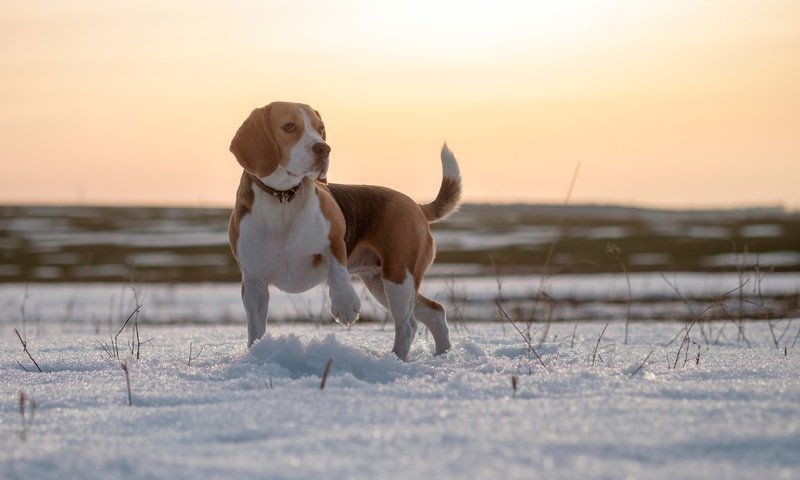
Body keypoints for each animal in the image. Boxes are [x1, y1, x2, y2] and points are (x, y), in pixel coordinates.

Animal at [228, 100, 460, 360]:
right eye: (289, 127)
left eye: (320, 129)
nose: (324, 149)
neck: (283, 198)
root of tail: (415, 205)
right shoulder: (254, 283)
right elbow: (256, 329)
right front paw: (256, 354)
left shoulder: (334, 240)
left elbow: (337, 269)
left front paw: (345, 305)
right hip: (382, 283)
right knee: (434, 312)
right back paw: (442, 356)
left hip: (399, 277)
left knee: (408, 324)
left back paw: (396, 360)